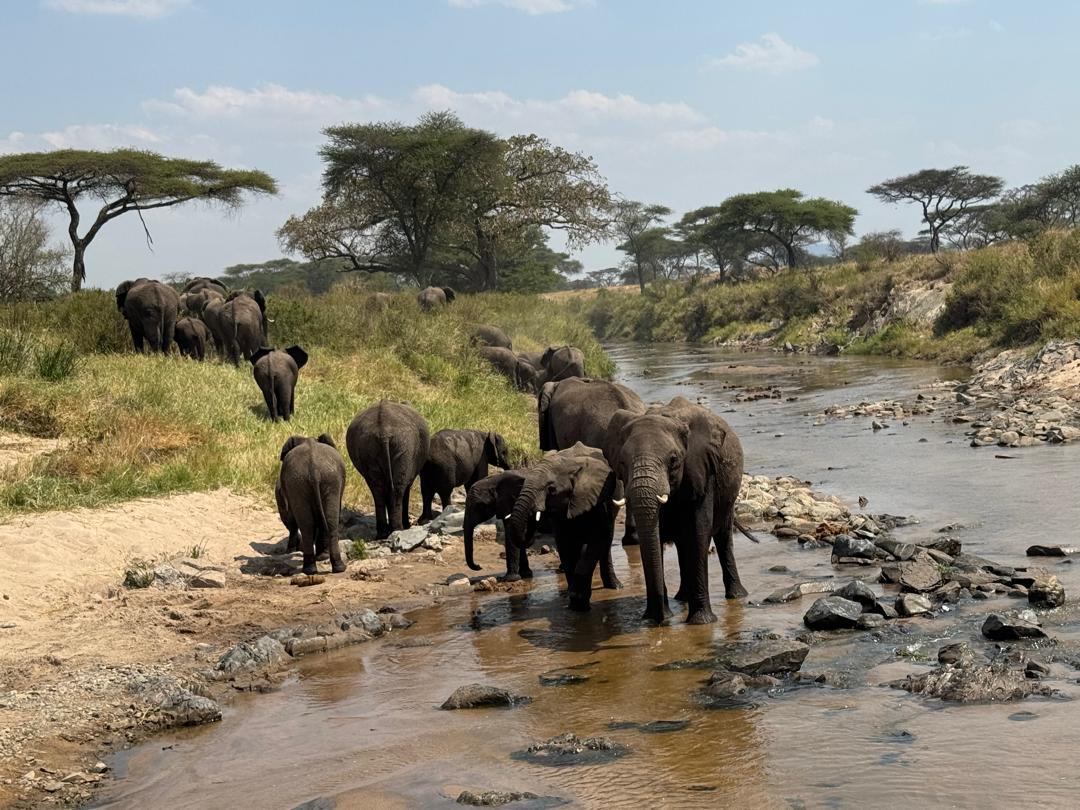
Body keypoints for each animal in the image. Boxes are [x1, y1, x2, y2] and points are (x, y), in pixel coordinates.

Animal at [276, 433, 347, 575]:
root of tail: (314, 471)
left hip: (308, 481)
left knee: (311, 524)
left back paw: (315, 568)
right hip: (317, 481)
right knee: (325, 523)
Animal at [346, 399, 430, 540]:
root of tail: (383, 431)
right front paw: (406, 526)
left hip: (368, 448)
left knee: (377, 489)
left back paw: (383, 533)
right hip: (404, 446)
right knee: (398, 488)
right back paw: (398, 530)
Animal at [505, 442, 622, 611]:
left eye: (551, 489)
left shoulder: (598, 500)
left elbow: (599, 539)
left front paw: (579, 602)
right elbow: (565, 546)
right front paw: (574, 603)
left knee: (606, 543)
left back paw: (616, 587)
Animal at [603, 396, 755, 625]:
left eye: (673, 460)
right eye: (622, 462)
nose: (659, 619)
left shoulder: (703, 472)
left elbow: (699, 533)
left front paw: (701, 622)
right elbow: (656, 537)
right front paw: (656, 618)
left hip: (728, 495)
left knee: (722, 537)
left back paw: (736, 596)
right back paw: (681, 598)